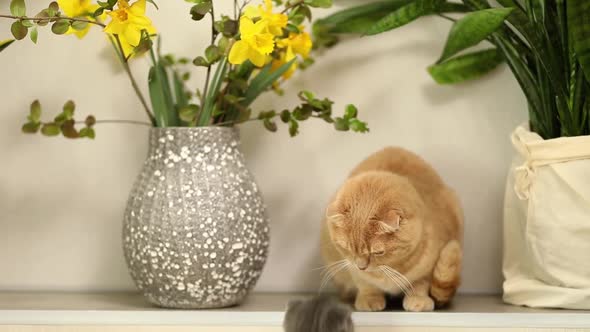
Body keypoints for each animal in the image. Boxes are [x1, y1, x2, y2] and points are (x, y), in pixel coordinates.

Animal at [322, 147, 464, 312]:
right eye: (346, 248)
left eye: (378, 252)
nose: (361, 266)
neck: (390, 266)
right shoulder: (352, 268)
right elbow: (365, 284)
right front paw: (369, 299)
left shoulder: (430, 264)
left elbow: (420, 283)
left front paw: (418, 299)